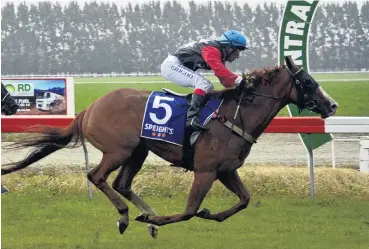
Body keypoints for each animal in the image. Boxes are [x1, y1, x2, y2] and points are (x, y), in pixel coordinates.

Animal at [2, 56, 336, 237]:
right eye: (308, 82)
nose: (332, 105)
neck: (236, 114)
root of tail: (91, 107)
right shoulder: (205, 171)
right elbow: (188, 211)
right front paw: (158, 219)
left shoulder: (226, 170)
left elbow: (244, 200)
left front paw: (208, 215)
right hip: (119, 150)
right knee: (97, 177)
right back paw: (127, 215)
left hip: (138, 151)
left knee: (122, 184)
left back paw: (142, 216)